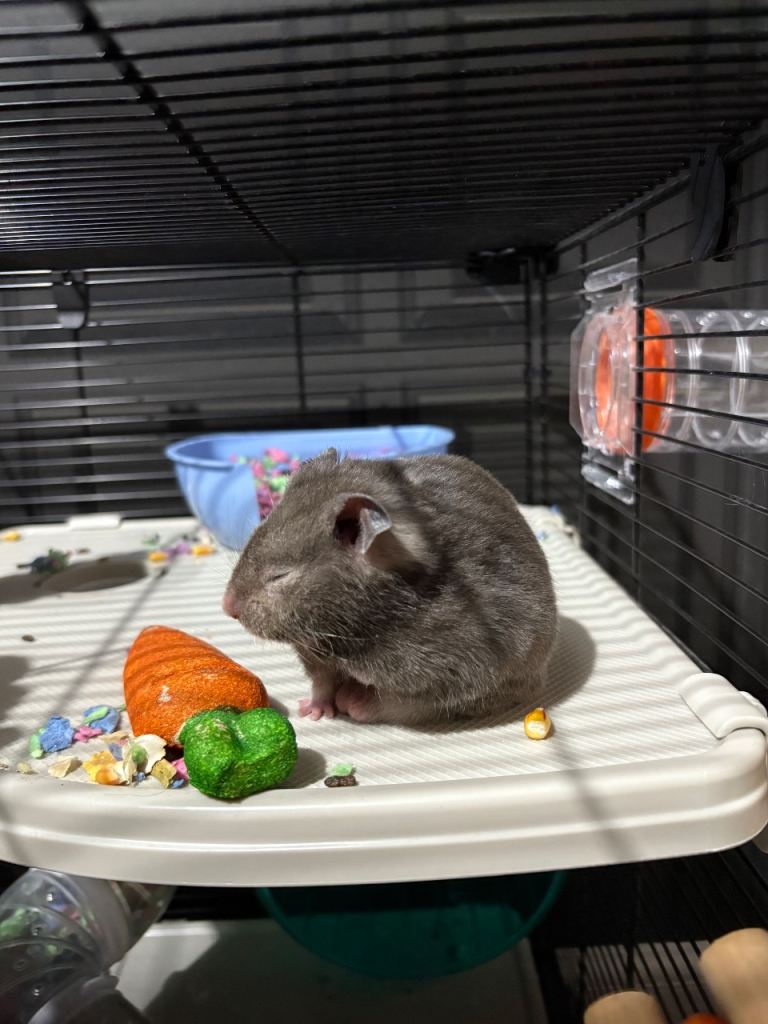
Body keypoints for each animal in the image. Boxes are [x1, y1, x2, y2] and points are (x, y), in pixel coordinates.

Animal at [223, 449, 557, 726]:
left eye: (280, 576)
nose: (227, 607)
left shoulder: (455, 675)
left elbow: (403, 702)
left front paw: (355, 702)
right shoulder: (313, 652)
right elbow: (322, 682)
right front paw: (312, 711)